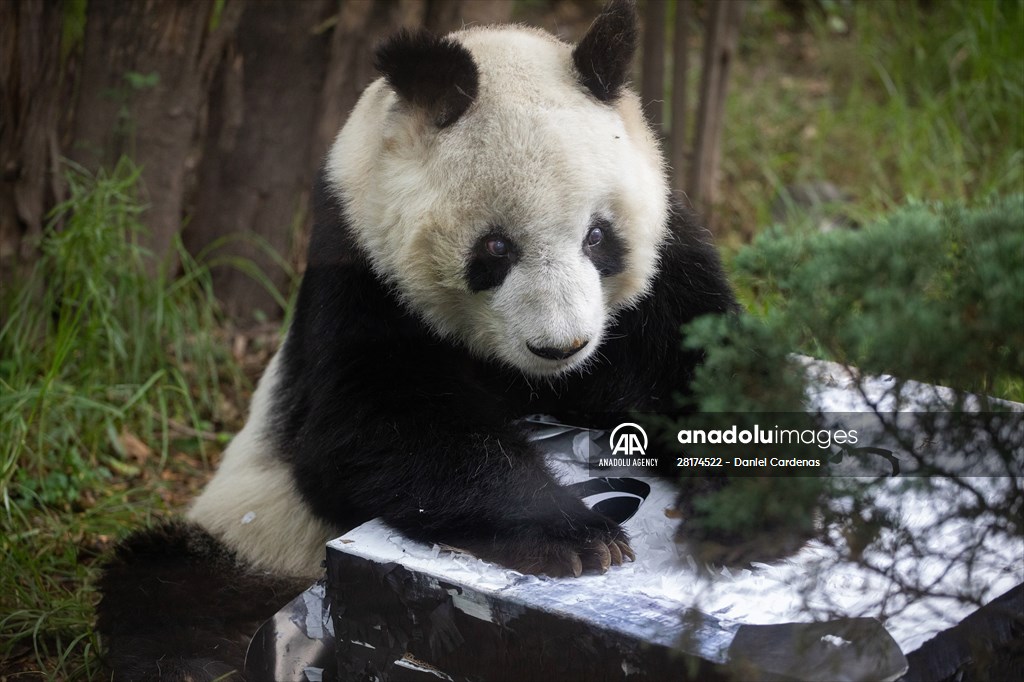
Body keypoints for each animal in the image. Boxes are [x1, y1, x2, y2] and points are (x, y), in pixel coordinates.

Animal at [96, 2, 737, 675]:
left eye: (597, 236)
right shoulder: (361, 268)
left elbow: (693, 363)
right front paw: (579, 537)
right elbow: (377, 425)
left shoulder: (665, 261)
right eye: (495, 249)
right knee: (169, 590)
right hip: (254, 530)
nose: (561, 348)